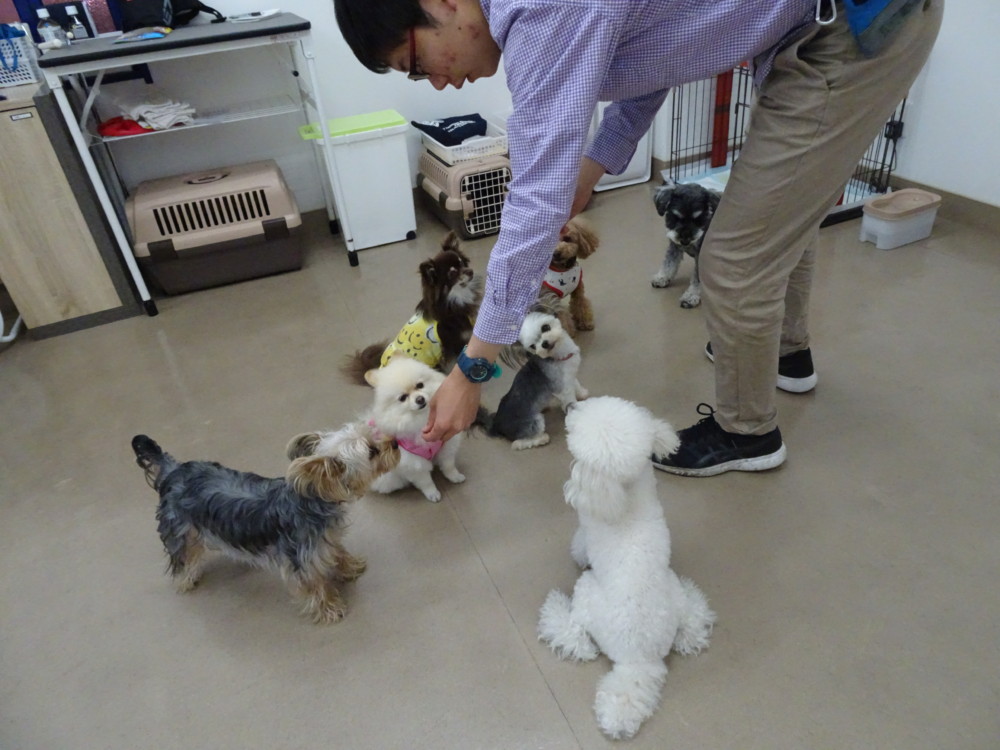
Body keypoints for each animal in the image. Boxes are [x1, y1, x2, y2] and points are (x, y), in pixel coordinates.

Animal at [131, 424, 399, 623]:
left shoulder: (325, 540)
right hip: (180, 530)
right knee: (182, 556)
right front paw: (330, 609)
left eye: (373, 437)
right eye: (372, 451)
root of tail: (173, 471)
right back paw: (186, 580)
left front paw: (350, 567)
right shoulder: (300, 559)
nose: (396, 442)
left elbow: (338, 552)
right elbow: (315, 586)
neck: (312, 500)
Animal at [360, 354, 467, 502]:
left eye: (420, 385)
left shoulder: (446, 444)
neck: (422, 417)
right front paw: (432, 493)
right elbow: (425, 481)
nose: (420, 399)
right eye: (403, 398)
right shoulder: (414, 464)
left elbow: (448, 465)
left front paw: (455, 476)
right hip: (388, 478)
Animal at [480, 311, 588, 450]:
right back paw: (541, 439)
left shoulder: (569, 376)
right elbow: (569, 398)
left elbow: (576, 384)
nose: (544, 344)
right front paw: (576, 410)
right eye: (533, 346)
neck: (557, 355)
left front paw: (582, 394)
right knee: (518, 443)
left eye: (545, 327)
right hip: (534, 421)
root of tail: (497, 425)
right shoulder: (562, 387)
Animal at [537, 396, 716, 739]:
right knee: (691, 619)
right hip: (673, 591)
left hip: (586, 593)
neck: (626, 493)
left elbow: (579, 546)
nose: (570, 408)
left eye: (576, 429)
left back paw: (555, 609)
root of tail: (639, 660)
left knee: (575, 633)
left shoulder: (585, 532)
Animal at [651, 179, 721, 308]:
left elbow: (697, 277)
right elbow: (669, 262)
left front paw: (691, 296)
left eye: (698, 220)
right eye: (675, 217)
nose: (685, 240)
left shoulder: (700, 255)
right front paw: (662, 277)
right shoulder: (674, 245)